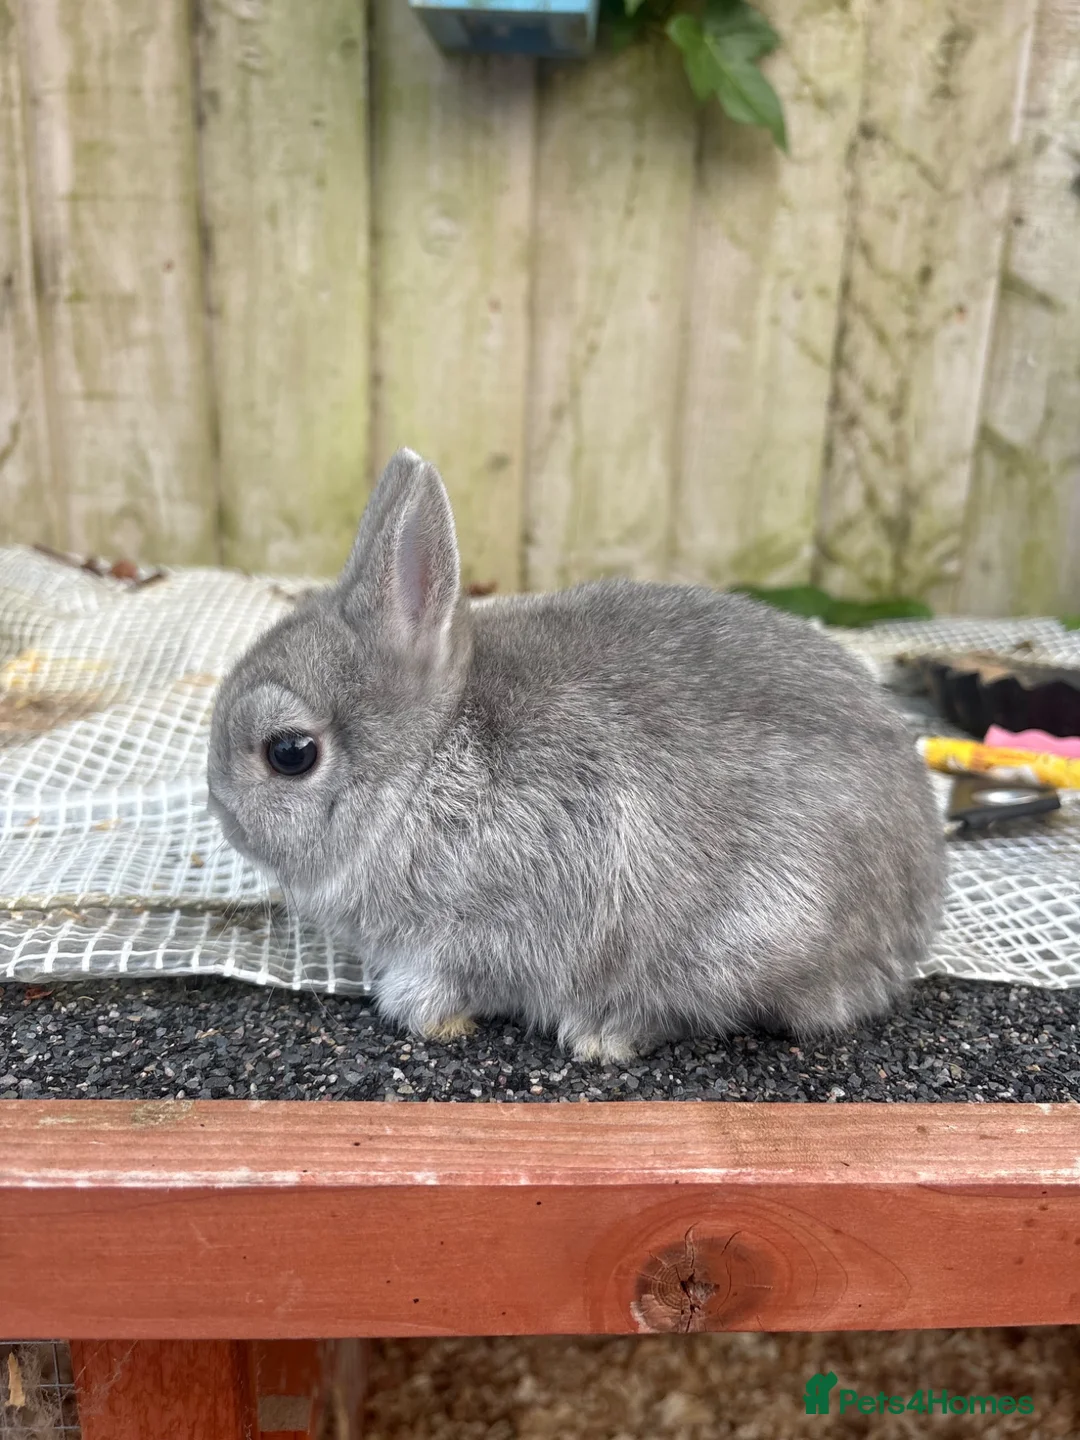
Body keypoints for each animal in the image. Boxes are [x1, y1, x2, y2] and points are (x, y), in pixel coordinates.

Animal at [207, 448, 944, 1063]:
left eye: (290, 753)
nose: (220, 812)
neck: (422, 766)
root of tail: (909, 920)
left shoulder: (486, 924)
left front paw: (427, 1016)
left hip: (749, 940)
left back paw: (601, 1036)